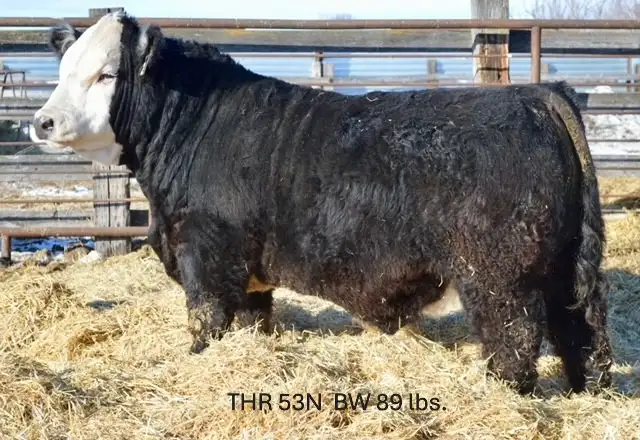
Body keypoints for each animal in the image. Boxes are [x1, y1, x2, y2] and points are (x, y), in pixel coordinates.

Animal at [32, 11, 613, 396]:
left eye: (107, 74)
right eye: (62, 71)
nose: (43, 122)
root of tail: (535, 93)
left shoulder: (206, 257)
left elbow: (206, 324)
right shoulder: (248, 273)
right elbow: (253, 321)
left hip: (499, 280)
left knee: (516, 342)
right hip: (566, 269)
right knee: (584, 334)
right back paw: (586, 392)